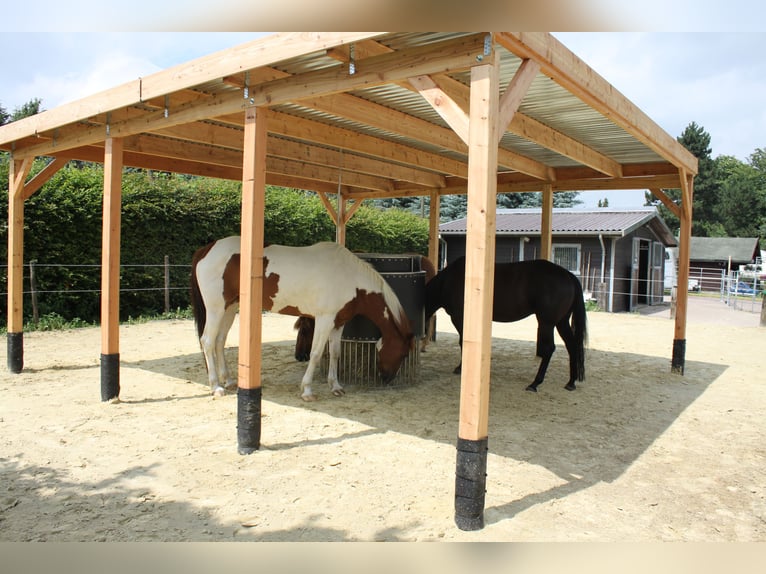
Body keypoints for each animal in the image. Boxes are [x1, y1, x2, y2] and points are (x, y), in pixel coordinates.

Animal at [190, 236, 415, 401]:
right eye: (403, 353)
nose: (386, 378)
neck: (350, 278)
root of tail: (206, 249)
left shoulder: (338, 323)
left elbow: (335, 353)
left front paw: (336, 386)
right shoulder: (324, 320)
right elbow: (316, 354)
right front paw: (307, 390)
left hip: (230, 307)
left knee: (219, 341)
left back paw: (228, 381)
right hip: (215, 308)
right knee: (207, 341)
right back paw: (216, 387)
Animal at [424, 256, 587, 392]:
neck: (448, 281)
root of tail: (568, 276)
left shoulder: (459, 318)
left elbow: (463, 342)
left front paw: (461, 367)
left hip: (547, 323)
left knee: (549, 349)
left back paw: (534, 383)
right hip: (561, 322)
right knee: (572, 346)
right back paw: (570, 382)